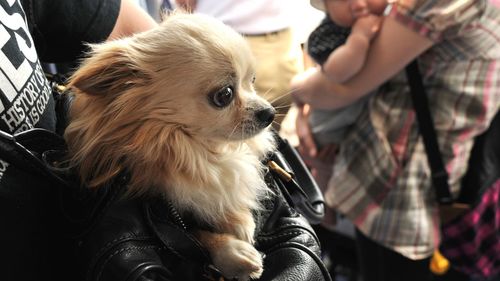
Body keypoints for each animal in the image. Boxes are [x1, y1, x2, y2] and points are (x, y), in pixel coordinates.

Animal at [64, 12, 276, 278]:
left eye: (253, 81)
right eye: (224, 95)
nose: (269, 113)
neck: (193, 148)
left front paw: (238, 219)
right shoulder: (164, 214)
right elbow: (191, 235)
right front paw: (234, 254)